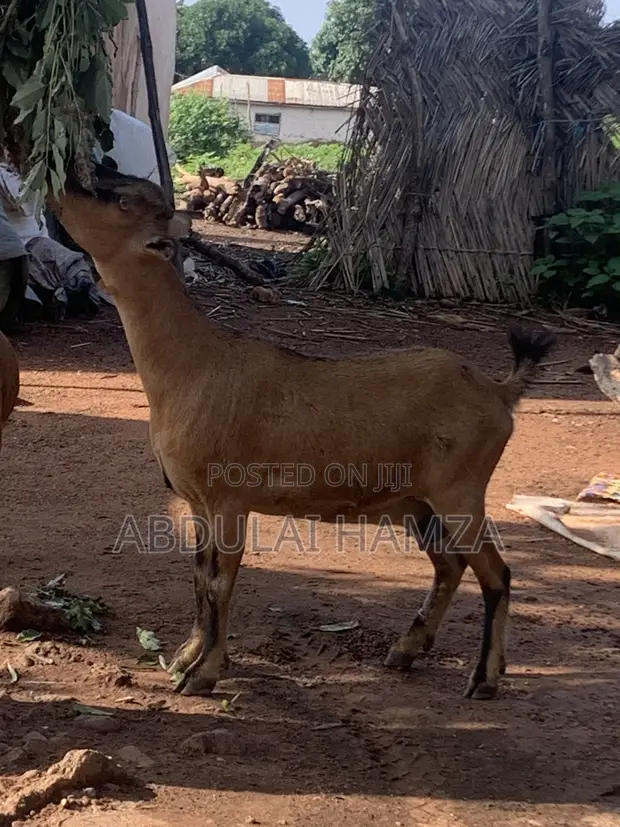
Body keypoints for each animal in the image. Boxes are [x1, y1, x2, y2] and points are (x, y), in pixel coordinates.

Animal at [54, 166, 555, 699]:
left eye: (119, 199)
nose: (63, 185)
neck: (194, 365)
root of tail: (499, 391)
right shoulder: (196, 501)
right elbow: (198, 578)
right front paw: (186, 656)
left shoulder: (229, 499)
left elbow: (219, 583)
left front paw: (204, 673)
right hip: (416, 504)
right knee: (450, 564)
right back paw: (405, 650)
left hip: (460, 492)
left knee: (495, 572)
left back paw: (483, 678)